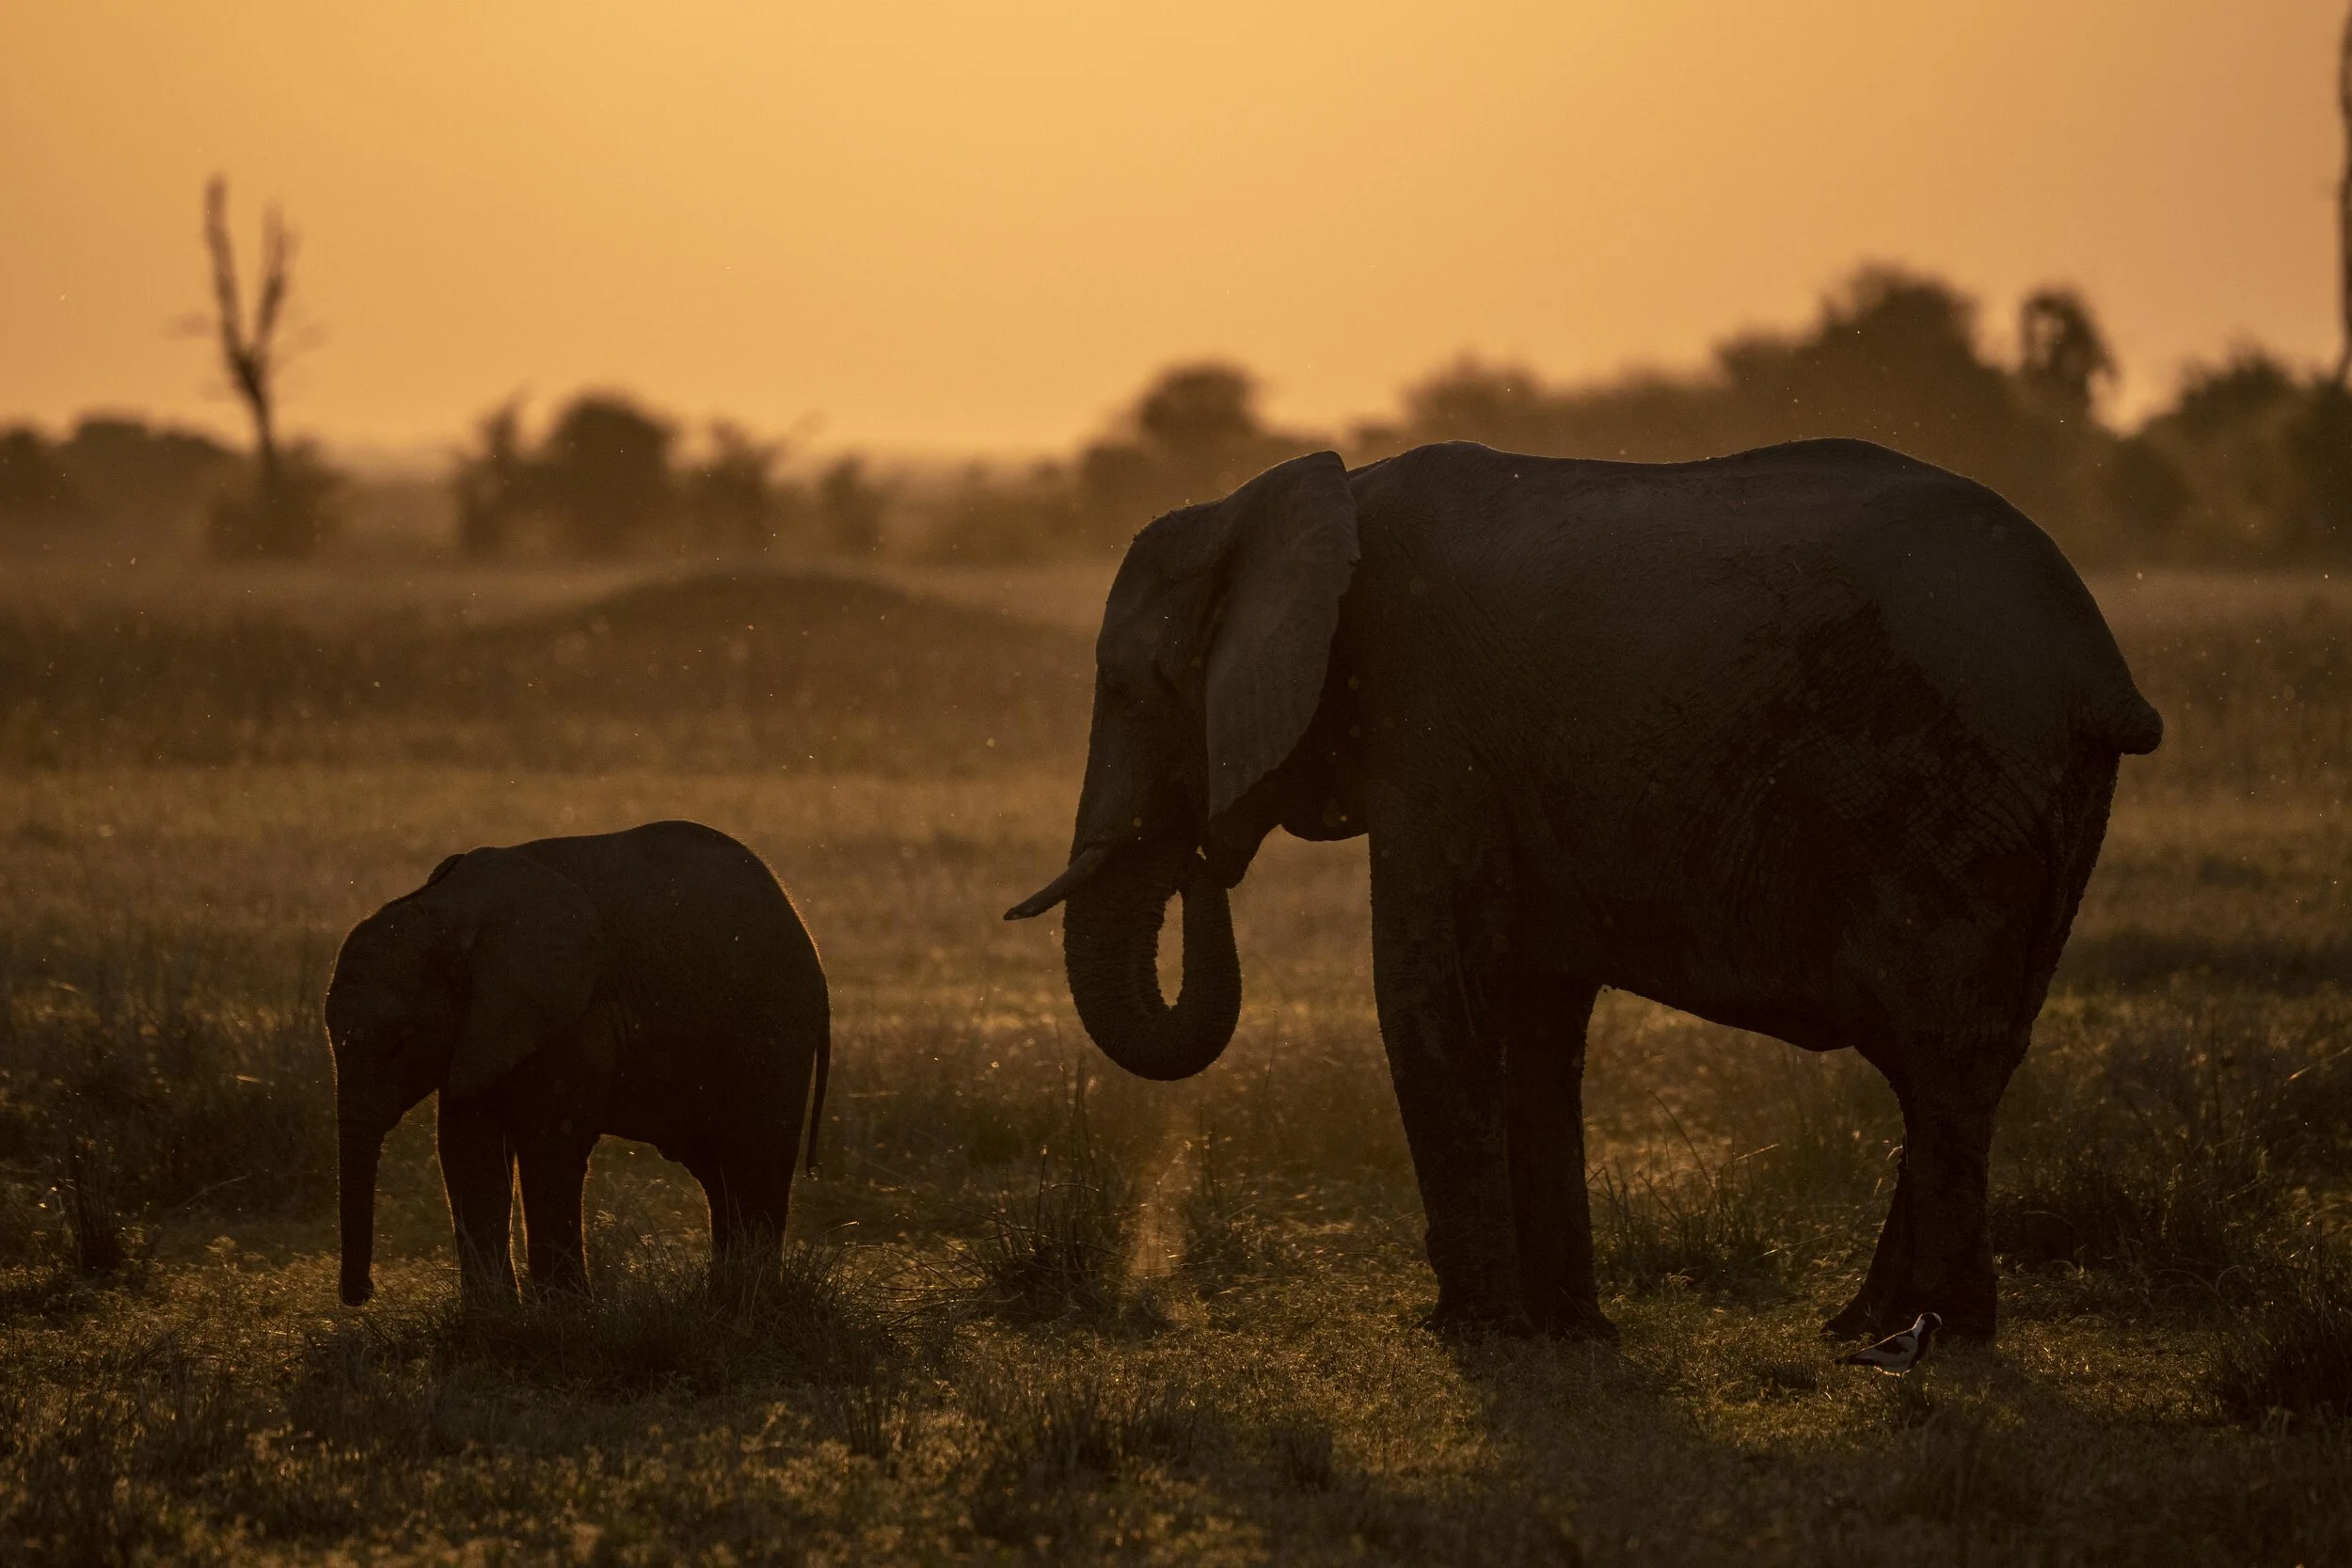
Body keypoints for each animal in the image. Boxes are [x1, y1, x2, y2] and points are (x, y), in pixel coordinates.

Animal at [325, 820, 829, 1308]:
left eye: (400, 1042)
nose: (361, 1294)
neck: (449, 910)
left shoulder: (573, 1013)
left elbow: (549, 1140)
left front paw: (564, 1314)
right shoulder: (477, 1029)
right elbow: (466, 1144)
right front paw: (493, 1316)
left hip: (774, 1023)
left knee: (753, 1157)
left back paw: (746, 1296)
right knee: (717, 1170)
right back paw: (724, 1295)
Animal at [1008, 439, 2160, 1343]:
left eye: (1128, 686)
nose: (1198, 847)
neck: (1292, 497)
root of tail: (2098, 669)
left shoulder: (1428, 720)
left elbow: (1427, 991)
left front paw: (1473, 1332)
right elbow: (1536, 1011)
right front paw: (1565, 1330)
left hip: (1951, 793)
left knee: (1940, 1057)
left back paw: (1930, 1336)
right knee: (1965, 1066)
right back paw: (1868, 1328)